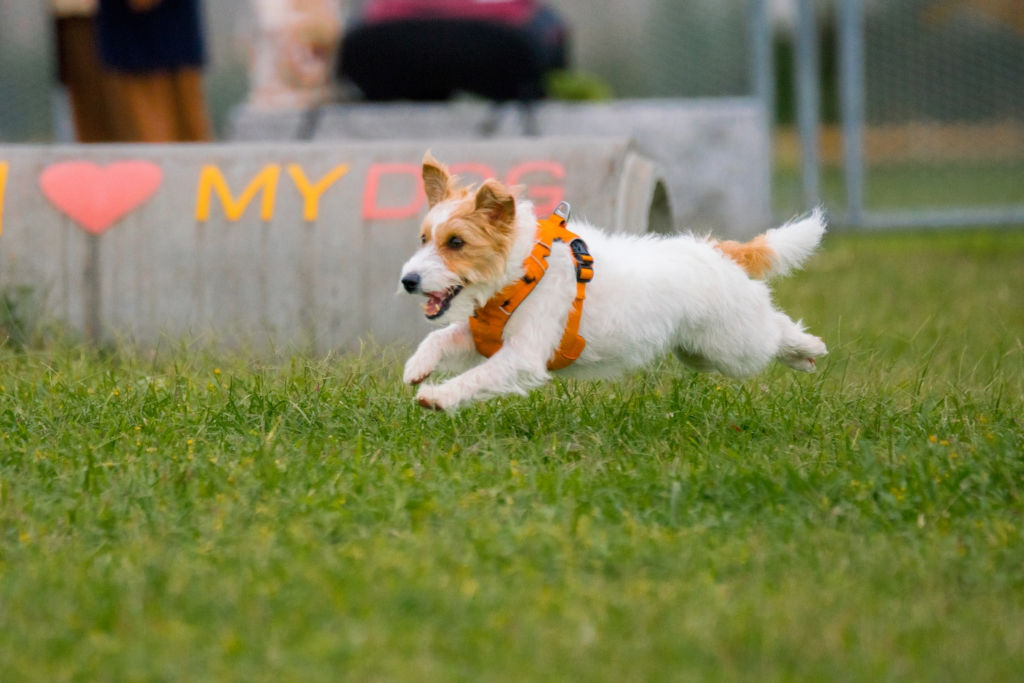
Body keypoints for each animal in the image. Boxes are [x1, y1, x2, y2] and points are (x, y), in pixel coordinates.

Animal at [395, 153, 827, 411]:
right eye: (423, 238)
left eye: (456, 242)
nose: (408, 281)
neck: (520, 272)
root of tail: (719, 250)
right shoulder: (480, 337)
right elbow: (439, 338)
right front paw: (417, 367)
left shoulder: (522, 355)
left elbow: (476, 377)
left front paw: (438, 395)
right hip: (698, 351)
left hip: (733, 346)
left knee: (774, 331)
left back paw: (808, 348)